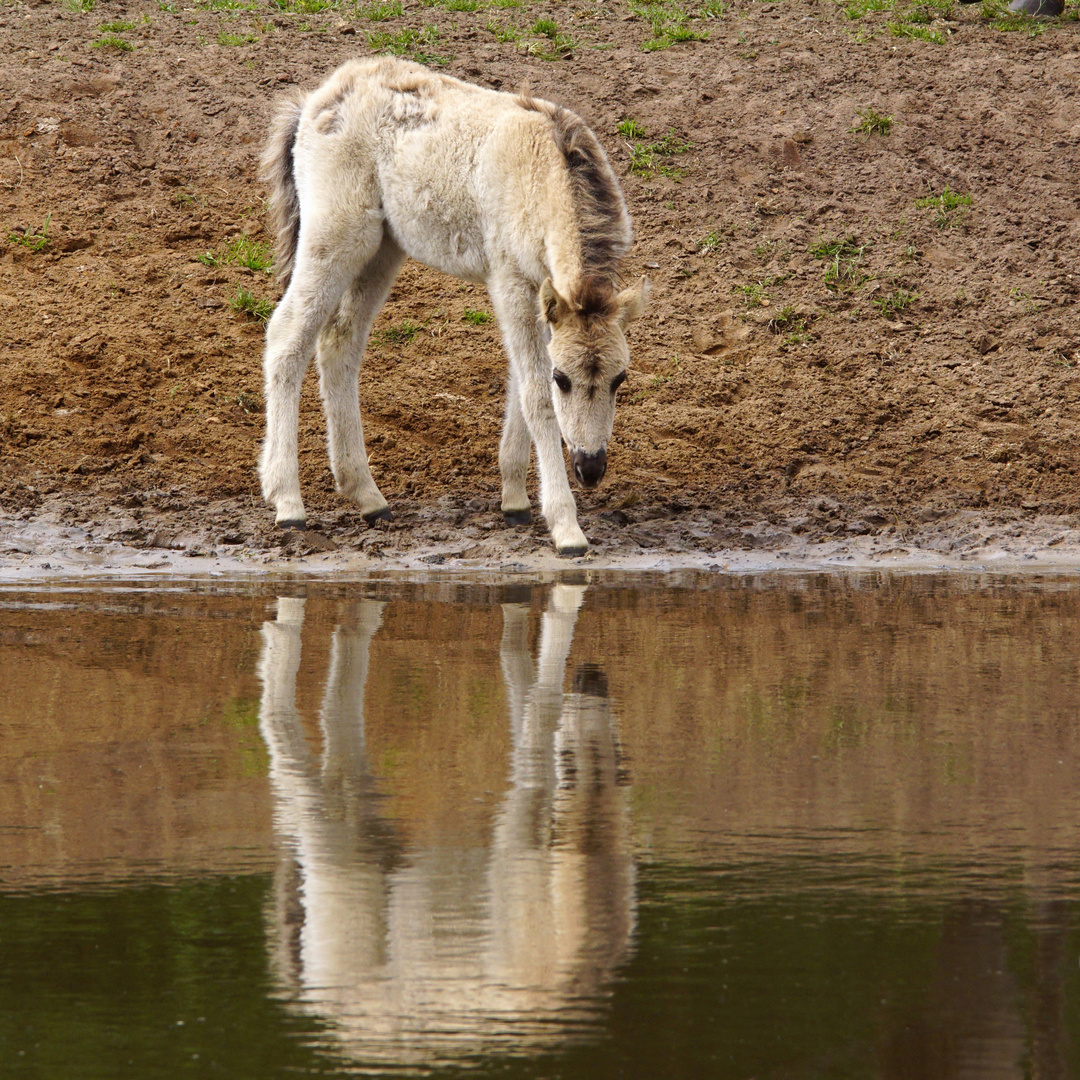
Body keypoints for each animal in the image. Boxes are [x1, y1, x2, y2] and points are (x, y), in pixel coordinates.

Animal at [259, 54, 648, 552]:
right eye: (563, 380)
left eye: (621, 379)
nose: (590, 467)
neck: (541, 171)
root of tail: (315, 99)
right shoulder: (510, 282)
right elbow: (534, 394)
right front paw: (565, 526)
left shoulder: (540, 292)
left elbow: (520, 381)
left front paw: (515, 500)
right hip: (337, 235)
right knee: (287, 336)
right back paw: (287, 502)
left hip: (383, 249)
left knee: (339, 342)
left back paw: (367, 496)